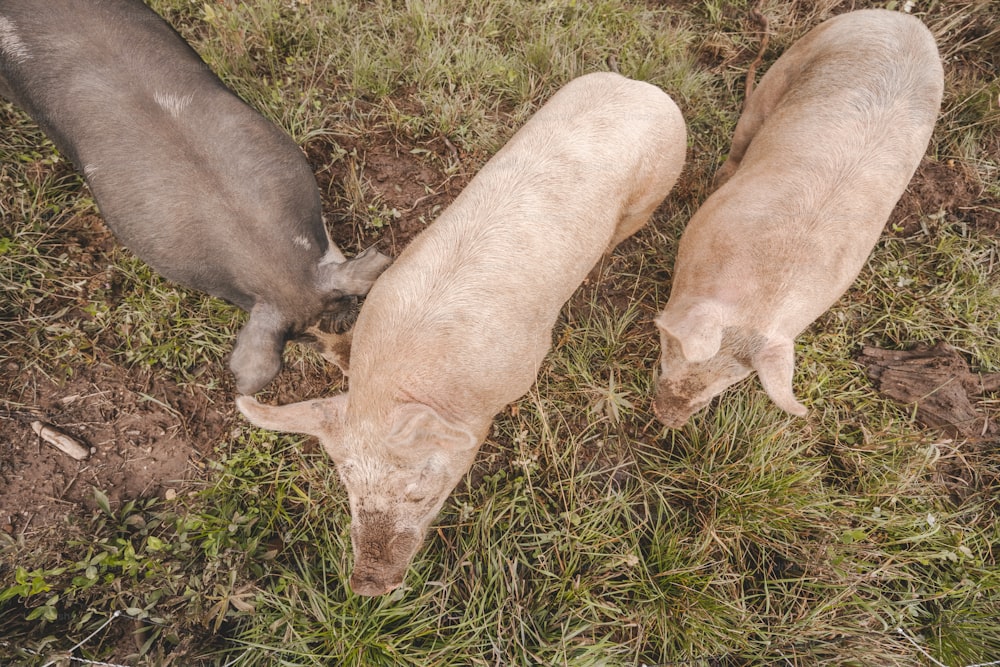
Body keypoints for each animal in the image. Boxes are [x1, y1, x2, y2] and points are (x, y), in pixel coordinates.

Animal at [237, 72, 688, 596]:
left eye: (419, 493)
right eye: (349, 488)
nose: (367, 585)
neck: (405, 384)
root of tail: (642, 87)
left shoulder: (523, 364)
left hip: (655, 187)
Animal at [652, 9, 940, 428]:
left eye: (734, 378)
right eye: (675, 349)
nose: (667, 418)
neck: (761, 296)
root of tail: (906, 21)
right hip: (796, 58)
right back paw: (720, 175)